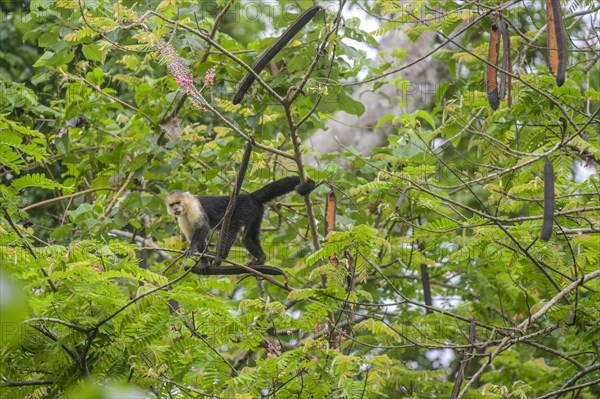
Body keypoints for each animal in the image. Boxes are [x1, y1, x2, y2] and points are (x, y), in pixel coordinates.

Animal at [164, 177, 314, 264]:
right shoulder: (181, 218)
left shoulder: (194, 206)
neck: (186, 207)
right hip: (256, 210)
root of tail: (250, 196)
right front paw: (204, 261)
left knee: (231, 227)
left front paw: (192, 249)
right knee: (247, 237)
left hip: (245, 206)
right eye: (172, 205)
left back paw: (221, 255)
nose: (176, 208)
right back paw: (261, 258)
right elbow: (192, 235)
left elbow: (203, 227)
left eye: (178, 202)